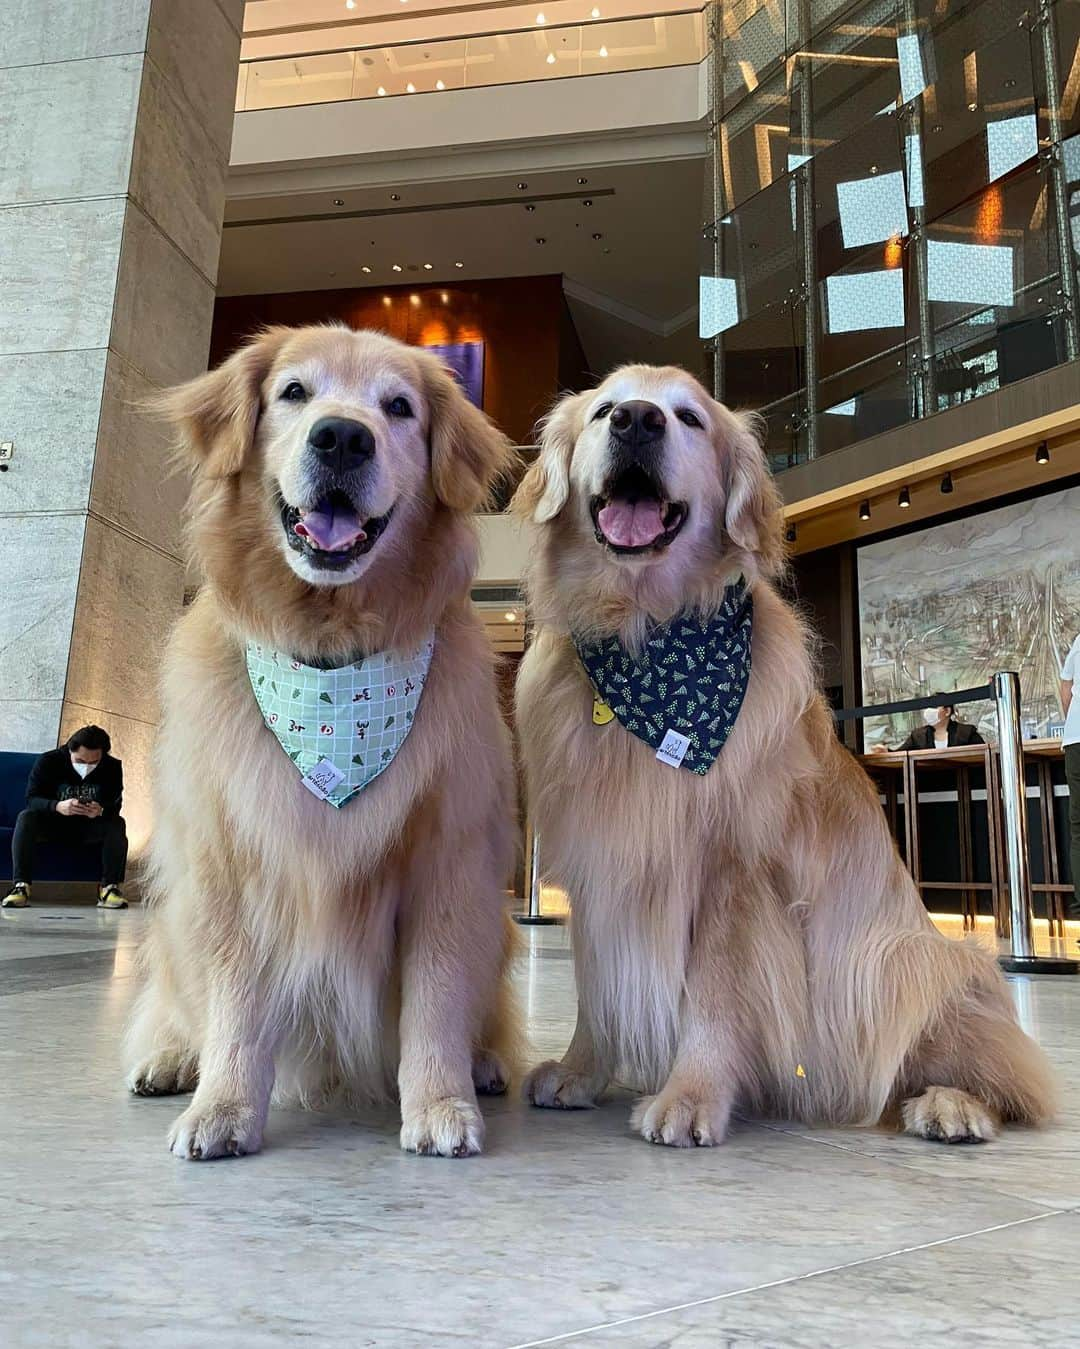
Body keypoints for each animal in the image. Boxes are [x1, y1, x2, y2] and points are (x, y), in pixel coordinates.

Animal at [124, 326, 520, 1160]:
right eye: (295, 392)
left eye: (398, 407)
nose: (341, 437)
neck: (330, 655)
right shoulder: (232, 865)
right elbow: (236, 1006)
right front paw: (224, 1105)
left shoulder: (450, 865)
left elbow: (437, 997)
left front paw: (441, 1101)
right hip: (174, 920)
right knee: (176, 999)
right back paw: (170, 1057)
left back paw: (485, 1061)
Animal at [512, 364, 1051, 1143]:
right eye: (605, 409)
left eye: (689, 417)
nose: (638, 421)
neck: (646, 632)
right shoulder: (601, 863)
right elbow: (597, 980)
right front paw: (581, 1070)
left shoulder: (735, 870)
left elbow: (715, 992)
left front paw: (692, 1095)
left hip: (906, 960)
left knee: (1009, 1080)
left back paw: (950, 1105)